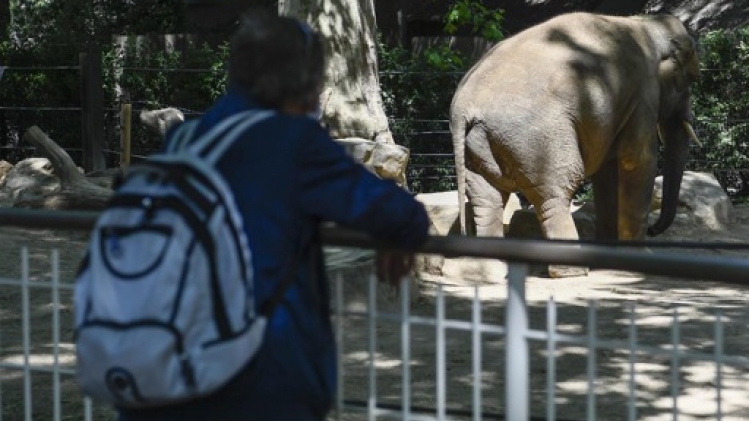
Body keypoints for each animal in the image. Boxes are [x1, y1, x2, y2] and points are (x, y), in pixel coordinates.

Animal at [449, 12, 701, 278]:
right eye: (691, 79)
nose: (654, 229)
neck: (647, 25)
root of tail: (462, 107)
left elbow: (607, 172)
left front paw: (611, 256)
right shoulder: (643, 93)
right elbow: (638, 161)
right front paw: (641, 259)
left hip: (478, 143)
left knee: (488, 197)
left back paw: (491, 269)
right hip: (538, 139)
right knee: (555, 191)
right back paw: (570, 271)